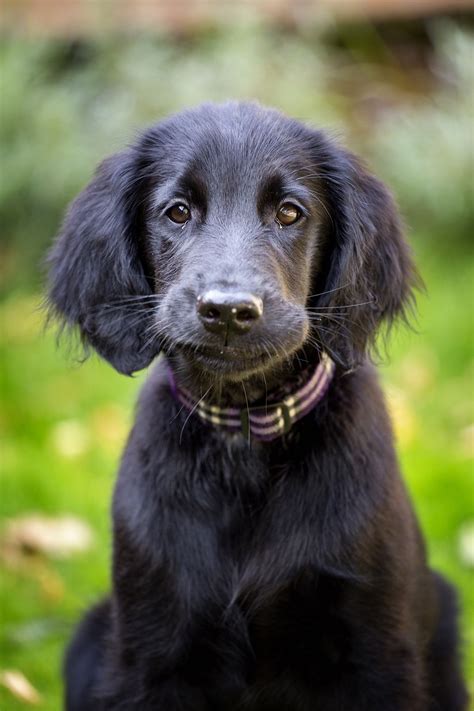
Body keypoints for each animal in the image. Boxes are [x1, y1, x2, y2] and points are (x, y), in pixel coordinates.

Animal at [48, 101, 466, 711]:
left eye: (290, 212)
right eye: (177, 212)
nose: (227, 310)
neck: (243, 436)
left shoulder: (376, 650)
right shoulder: (151, 649)